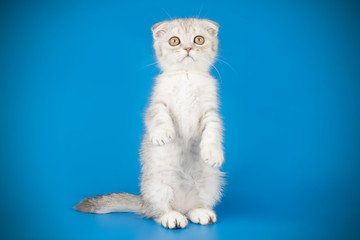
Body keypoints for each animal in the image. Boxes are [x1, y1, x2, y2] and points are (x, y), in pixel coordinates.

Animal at [74, 18, 224, 229]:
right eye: (175, 41)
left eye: (199, 39)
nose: (187, 48)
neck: (186, 75)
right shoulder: (157, 103)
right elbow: (159, 117)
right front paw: (162, 135)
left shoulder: (211, 112)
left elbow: (214, 131)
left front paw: (212, 153)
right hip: (158, 186)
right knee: (157, 212)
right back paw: (172, 218)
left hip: (210, 184)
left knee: (194, 206)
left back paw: (200, 212)